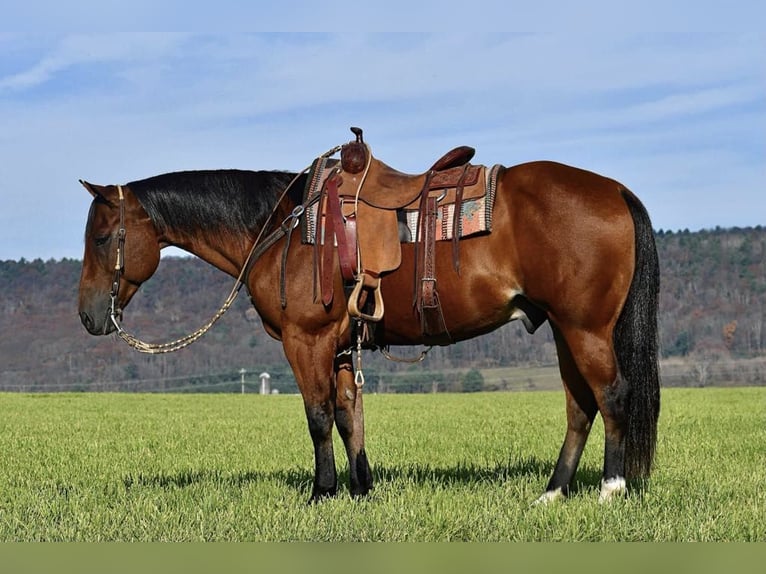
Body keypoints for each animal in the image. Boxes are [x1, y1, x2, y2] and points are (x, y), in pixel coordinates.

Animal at [79, 147, 664, 504]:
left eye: (104, 238)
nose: (88, 316)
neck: (281, 226)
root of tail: (614, 190)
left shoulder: (306, 341)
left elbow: (317, 416)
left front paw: (322, 491)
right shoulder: (339, 345)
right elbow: (347, 415)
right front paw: (360, 488)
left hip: (585, 328)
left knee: (611, 394)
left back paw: (611, 488)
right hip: (566, 330)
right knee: (580, 406)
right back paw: (552, 491)